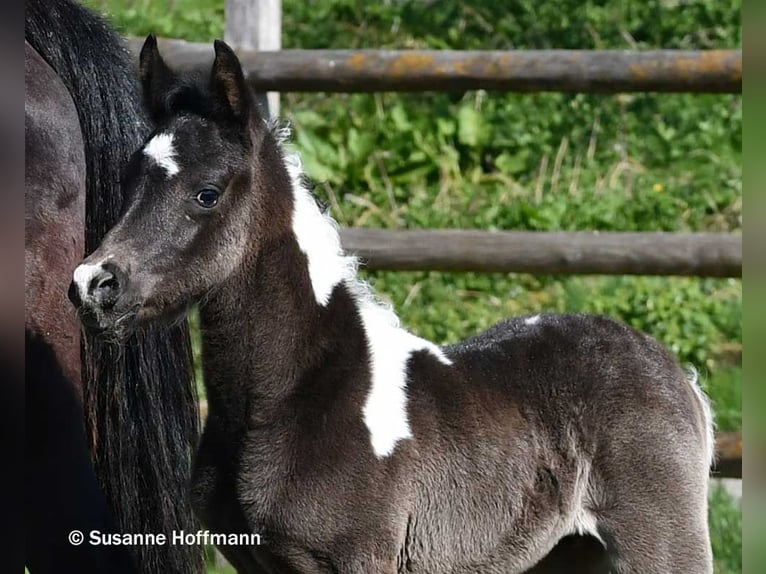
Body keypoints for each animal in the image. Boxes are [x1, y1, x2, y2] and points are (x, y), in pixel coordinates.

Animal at [70, 36, 715, 573]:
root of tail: (674, 373)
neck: (293, 393)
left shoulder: (357, 560)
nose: (92, 284)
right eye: (127, 182)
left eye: (206, 193)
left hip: (661, 546)